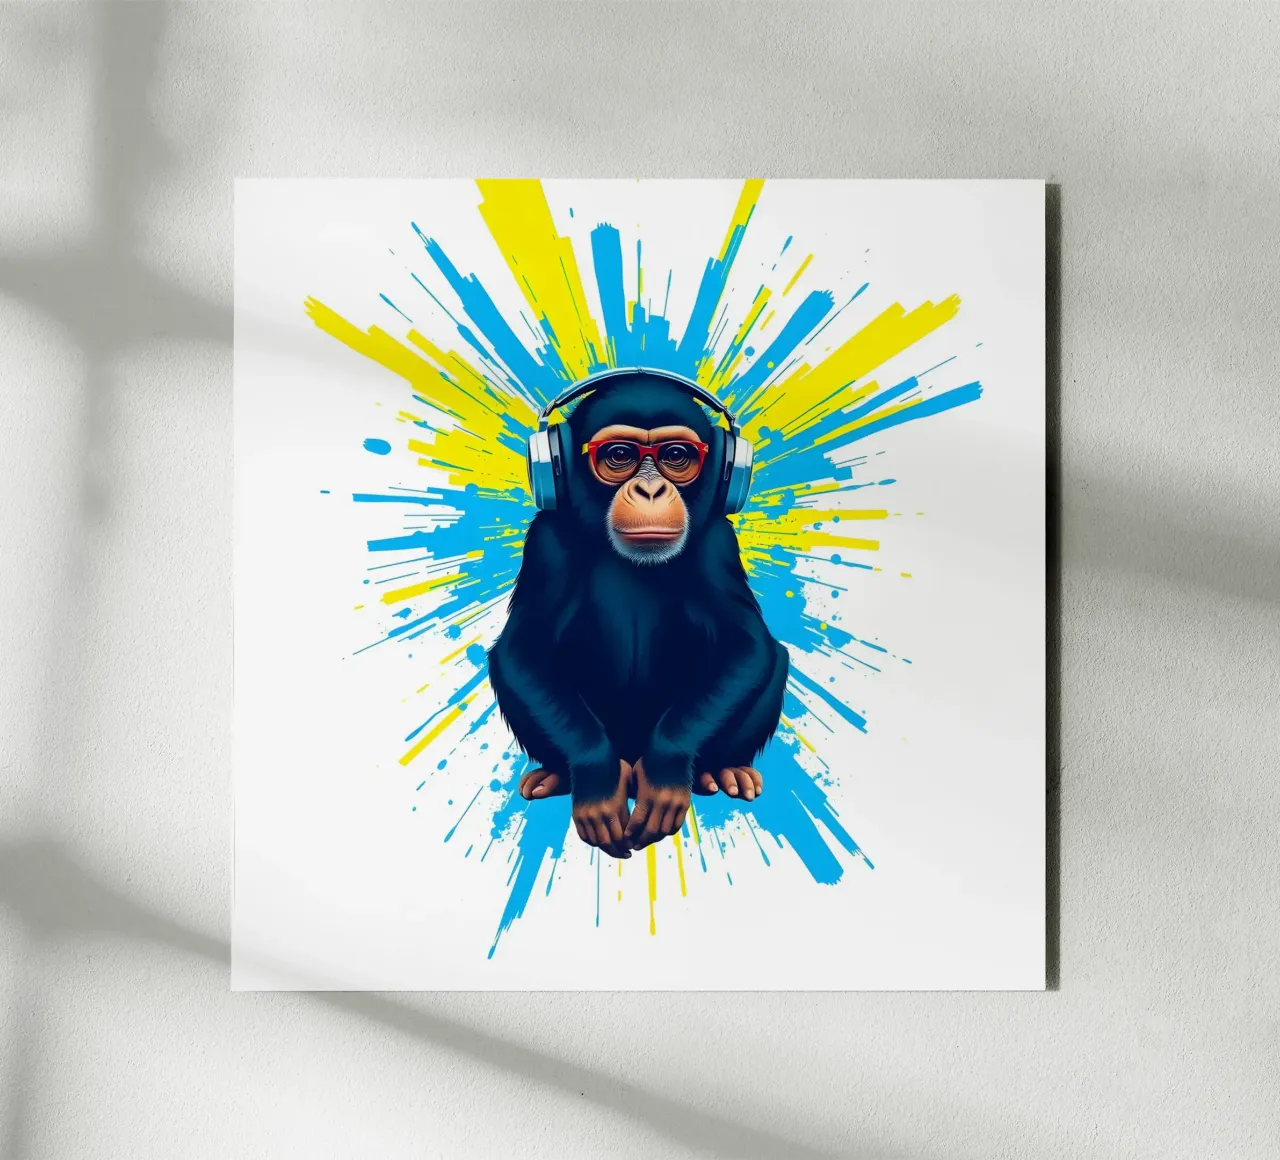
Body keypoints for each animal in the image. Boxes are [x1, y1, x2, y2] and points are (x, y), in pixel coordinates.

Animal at [487, 370, 788, 856]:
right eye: (620, 456)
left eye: (676, 456)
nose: (650, 489)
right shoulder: (545, 539)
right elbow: (523, 649)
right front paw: (596, 784)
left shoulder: (719, 541)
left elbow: (747, 645)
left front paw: (665, 774)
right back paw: (560, 776)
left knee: (775, 657)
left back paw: (722, 771)